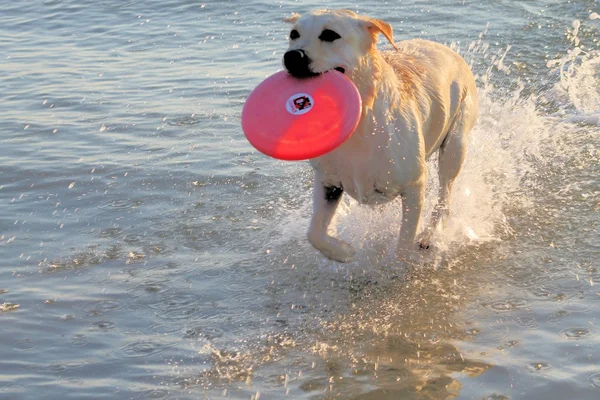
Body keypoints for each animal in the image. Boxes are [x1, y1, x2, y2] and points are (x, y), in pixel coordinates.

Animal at [282, 8, 478, 262]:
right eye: (293, 34)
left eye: (330, 34)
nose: (291, 57)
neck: (360, 121)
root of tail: (447, 49)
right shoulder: (328, 182)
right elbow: (314, 233)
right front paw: (343, 252)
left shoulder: (414, 185)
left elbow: (404, 243)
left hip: (456, 141)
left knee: (445, 193)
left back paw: (430, 234)